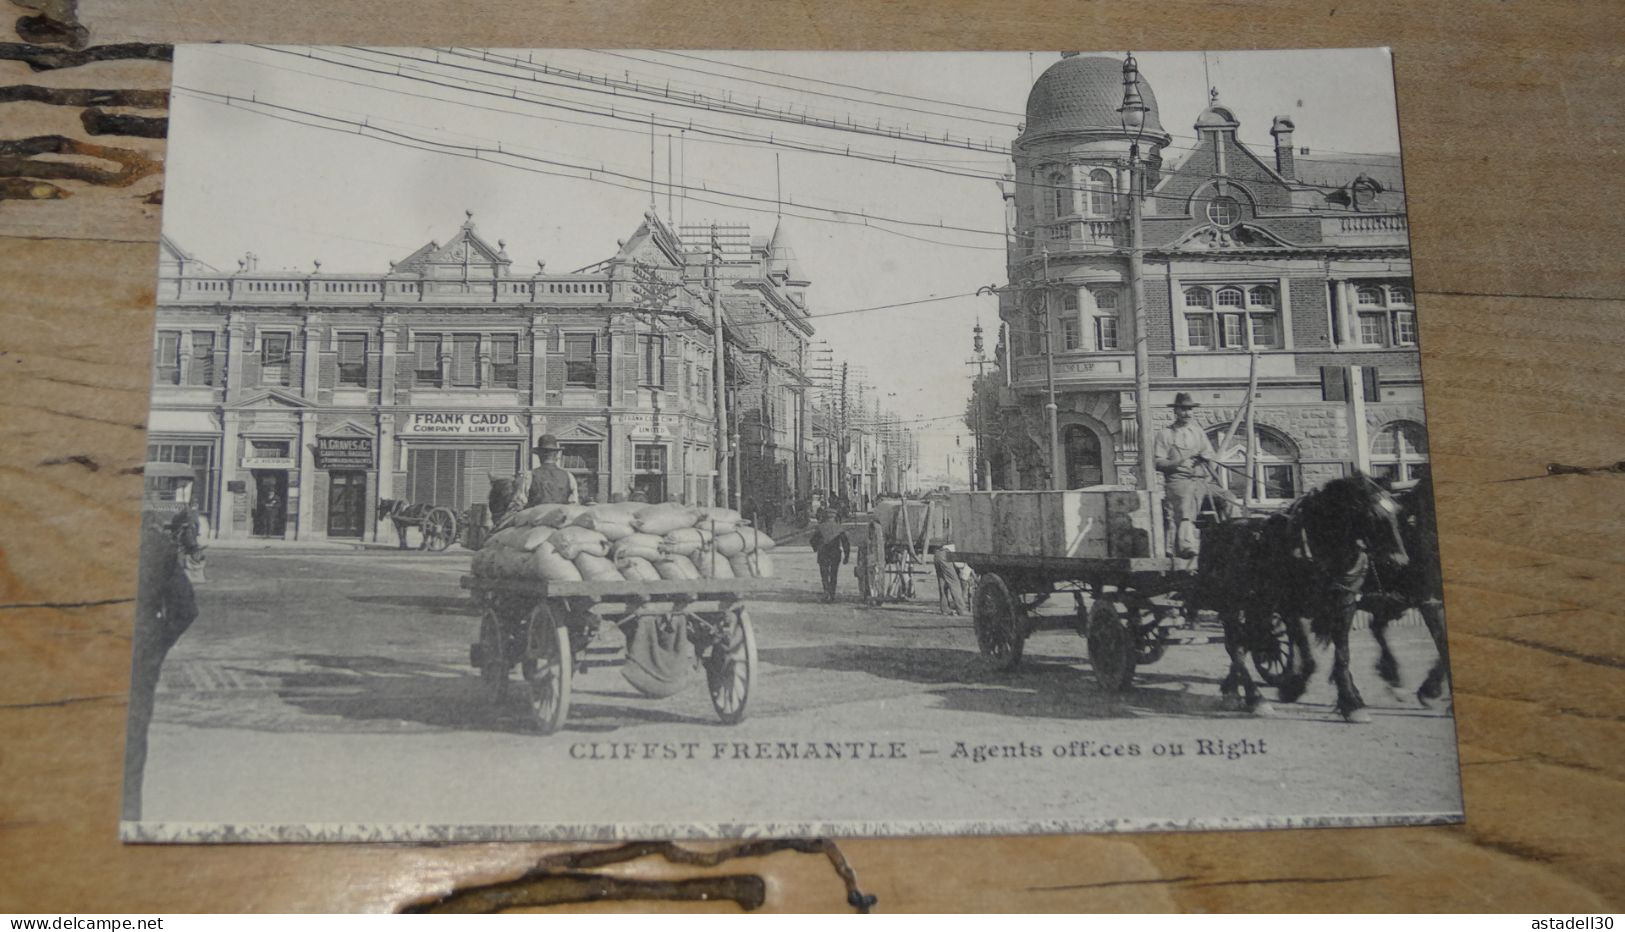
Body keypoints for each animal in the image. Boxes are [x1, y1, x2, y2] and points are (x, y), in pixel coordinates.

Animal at [1196, 474, 1410, 724]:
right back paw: (1255, 698)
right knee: (1235, 646)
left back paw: (1232, 690)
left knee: (1247, 640)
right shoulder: (1291, 609)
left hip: (1256, 606)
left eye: (1398, 511)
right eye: (1373, 514)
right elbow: (1308, 657)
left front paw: (1351, 701)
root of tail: (1217, 528)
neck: (1316, 550)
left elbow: (1343, 656)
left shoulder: (1345, 605)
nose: (1399, 562)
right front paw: (1293, 688)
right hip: (1229, 604)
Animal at [1358, 477, 1449, 711]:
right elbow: (1442, 642)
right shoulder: (1429, 602)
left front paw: (1430, 689)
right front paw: (1430, 691)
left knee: (1377, 628)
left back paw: (1393, 678)